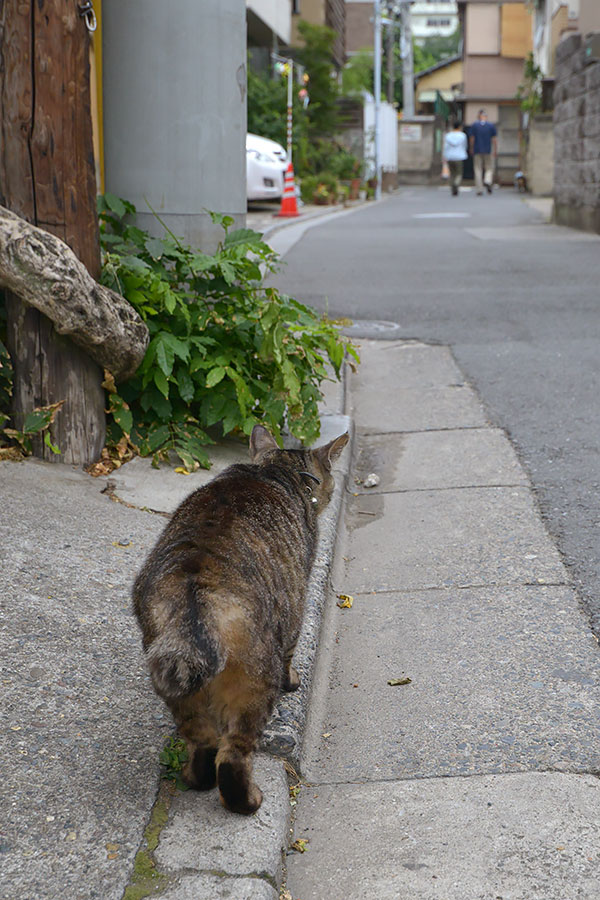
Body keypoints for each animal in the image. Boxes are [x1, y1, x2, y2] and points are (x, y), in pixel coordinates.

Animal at [131, 426, 346, 812]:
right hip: (255, 679)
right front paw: (293, 679)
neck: (276, 469)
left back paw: (194, 778)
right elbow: (292, 651)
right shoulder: (297, 605)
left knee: (202, 744)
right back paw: (247, 802)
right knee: (232, 756)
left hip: (173, 678)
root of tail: (195, 586)